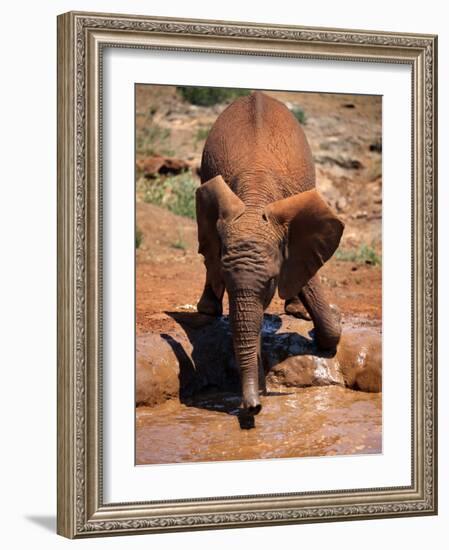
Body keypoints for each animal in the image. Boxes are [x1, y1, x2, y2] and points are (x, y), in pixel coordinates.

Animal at [194, 91, 344, 418]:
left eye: (271, 283)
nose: (253, 407)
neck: (253, 202)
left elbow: (307, 277)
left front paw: (318, 330)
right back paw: (207, 310)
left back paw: (298, 312)